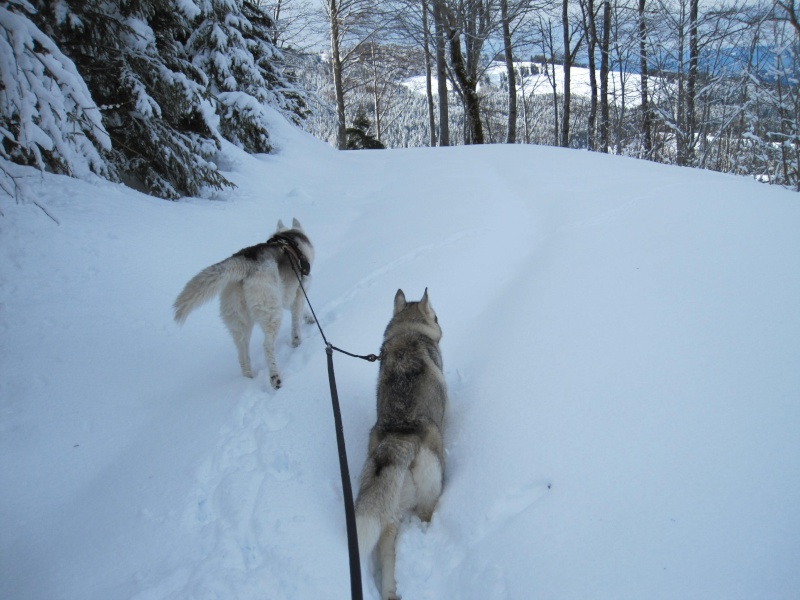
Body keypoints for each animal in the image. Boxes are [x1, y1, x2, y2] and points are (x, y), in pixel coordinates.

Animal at [173, 218, 314, 386]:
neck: (291, 239)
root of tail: (245, 263)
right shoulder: (298, 292)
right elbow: (296, 321)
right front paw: (297, 341)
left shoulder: (286, 296)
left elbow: (300, 311)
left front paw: (309, 318)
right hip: (271, 313)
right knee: (267, 346)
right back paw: (275, 377)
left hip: (239, 320)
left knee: (242, 353)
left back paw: (249, 376)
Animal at [354, 288, 446, 600]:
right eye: (436, 316)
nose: (442, 327)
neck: (408, 331)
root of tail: (399, 436)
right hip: (431, 482)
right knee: (427, 514)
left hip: (390, 509)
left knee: (387, 549)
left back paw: (389, 591)